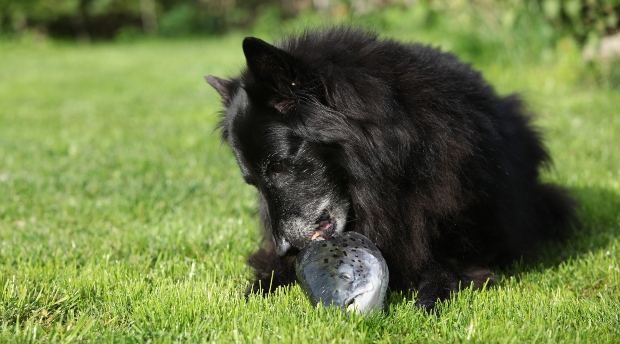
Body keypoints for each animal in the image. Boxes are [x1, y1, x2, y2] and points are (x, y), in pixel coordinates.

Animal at [207, 27, 576, 312]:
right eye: (253, 182)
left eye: (280, 166)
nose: (285, 248)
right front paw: (257, 288)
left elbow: (445, 269)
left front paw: (429, 299)